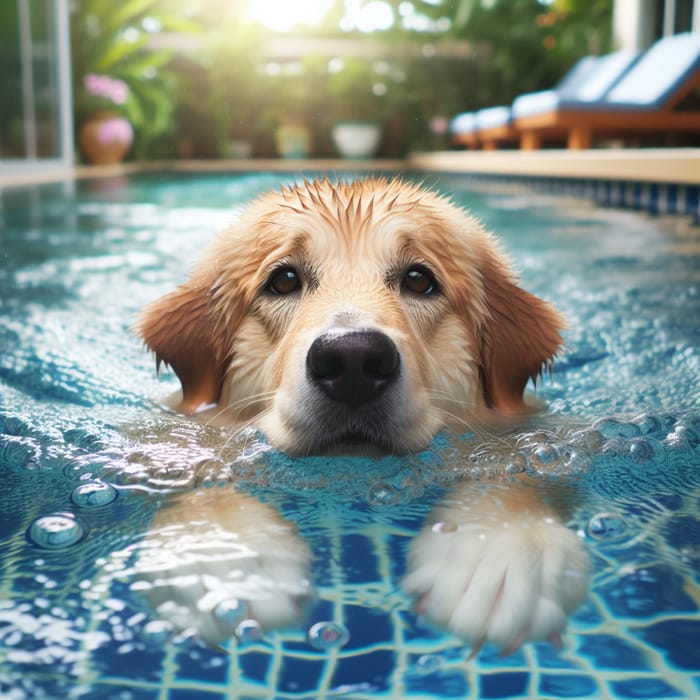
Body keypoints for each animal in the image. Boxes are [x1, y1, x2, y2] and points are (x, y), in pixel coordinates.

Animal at [133, 176, 592, 656]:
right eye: (283, 280)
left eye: (419, 280)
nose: (353, 360)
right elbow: (195, 469)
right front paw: (222, 551)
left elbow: (519, 462)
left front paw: (499, 545)